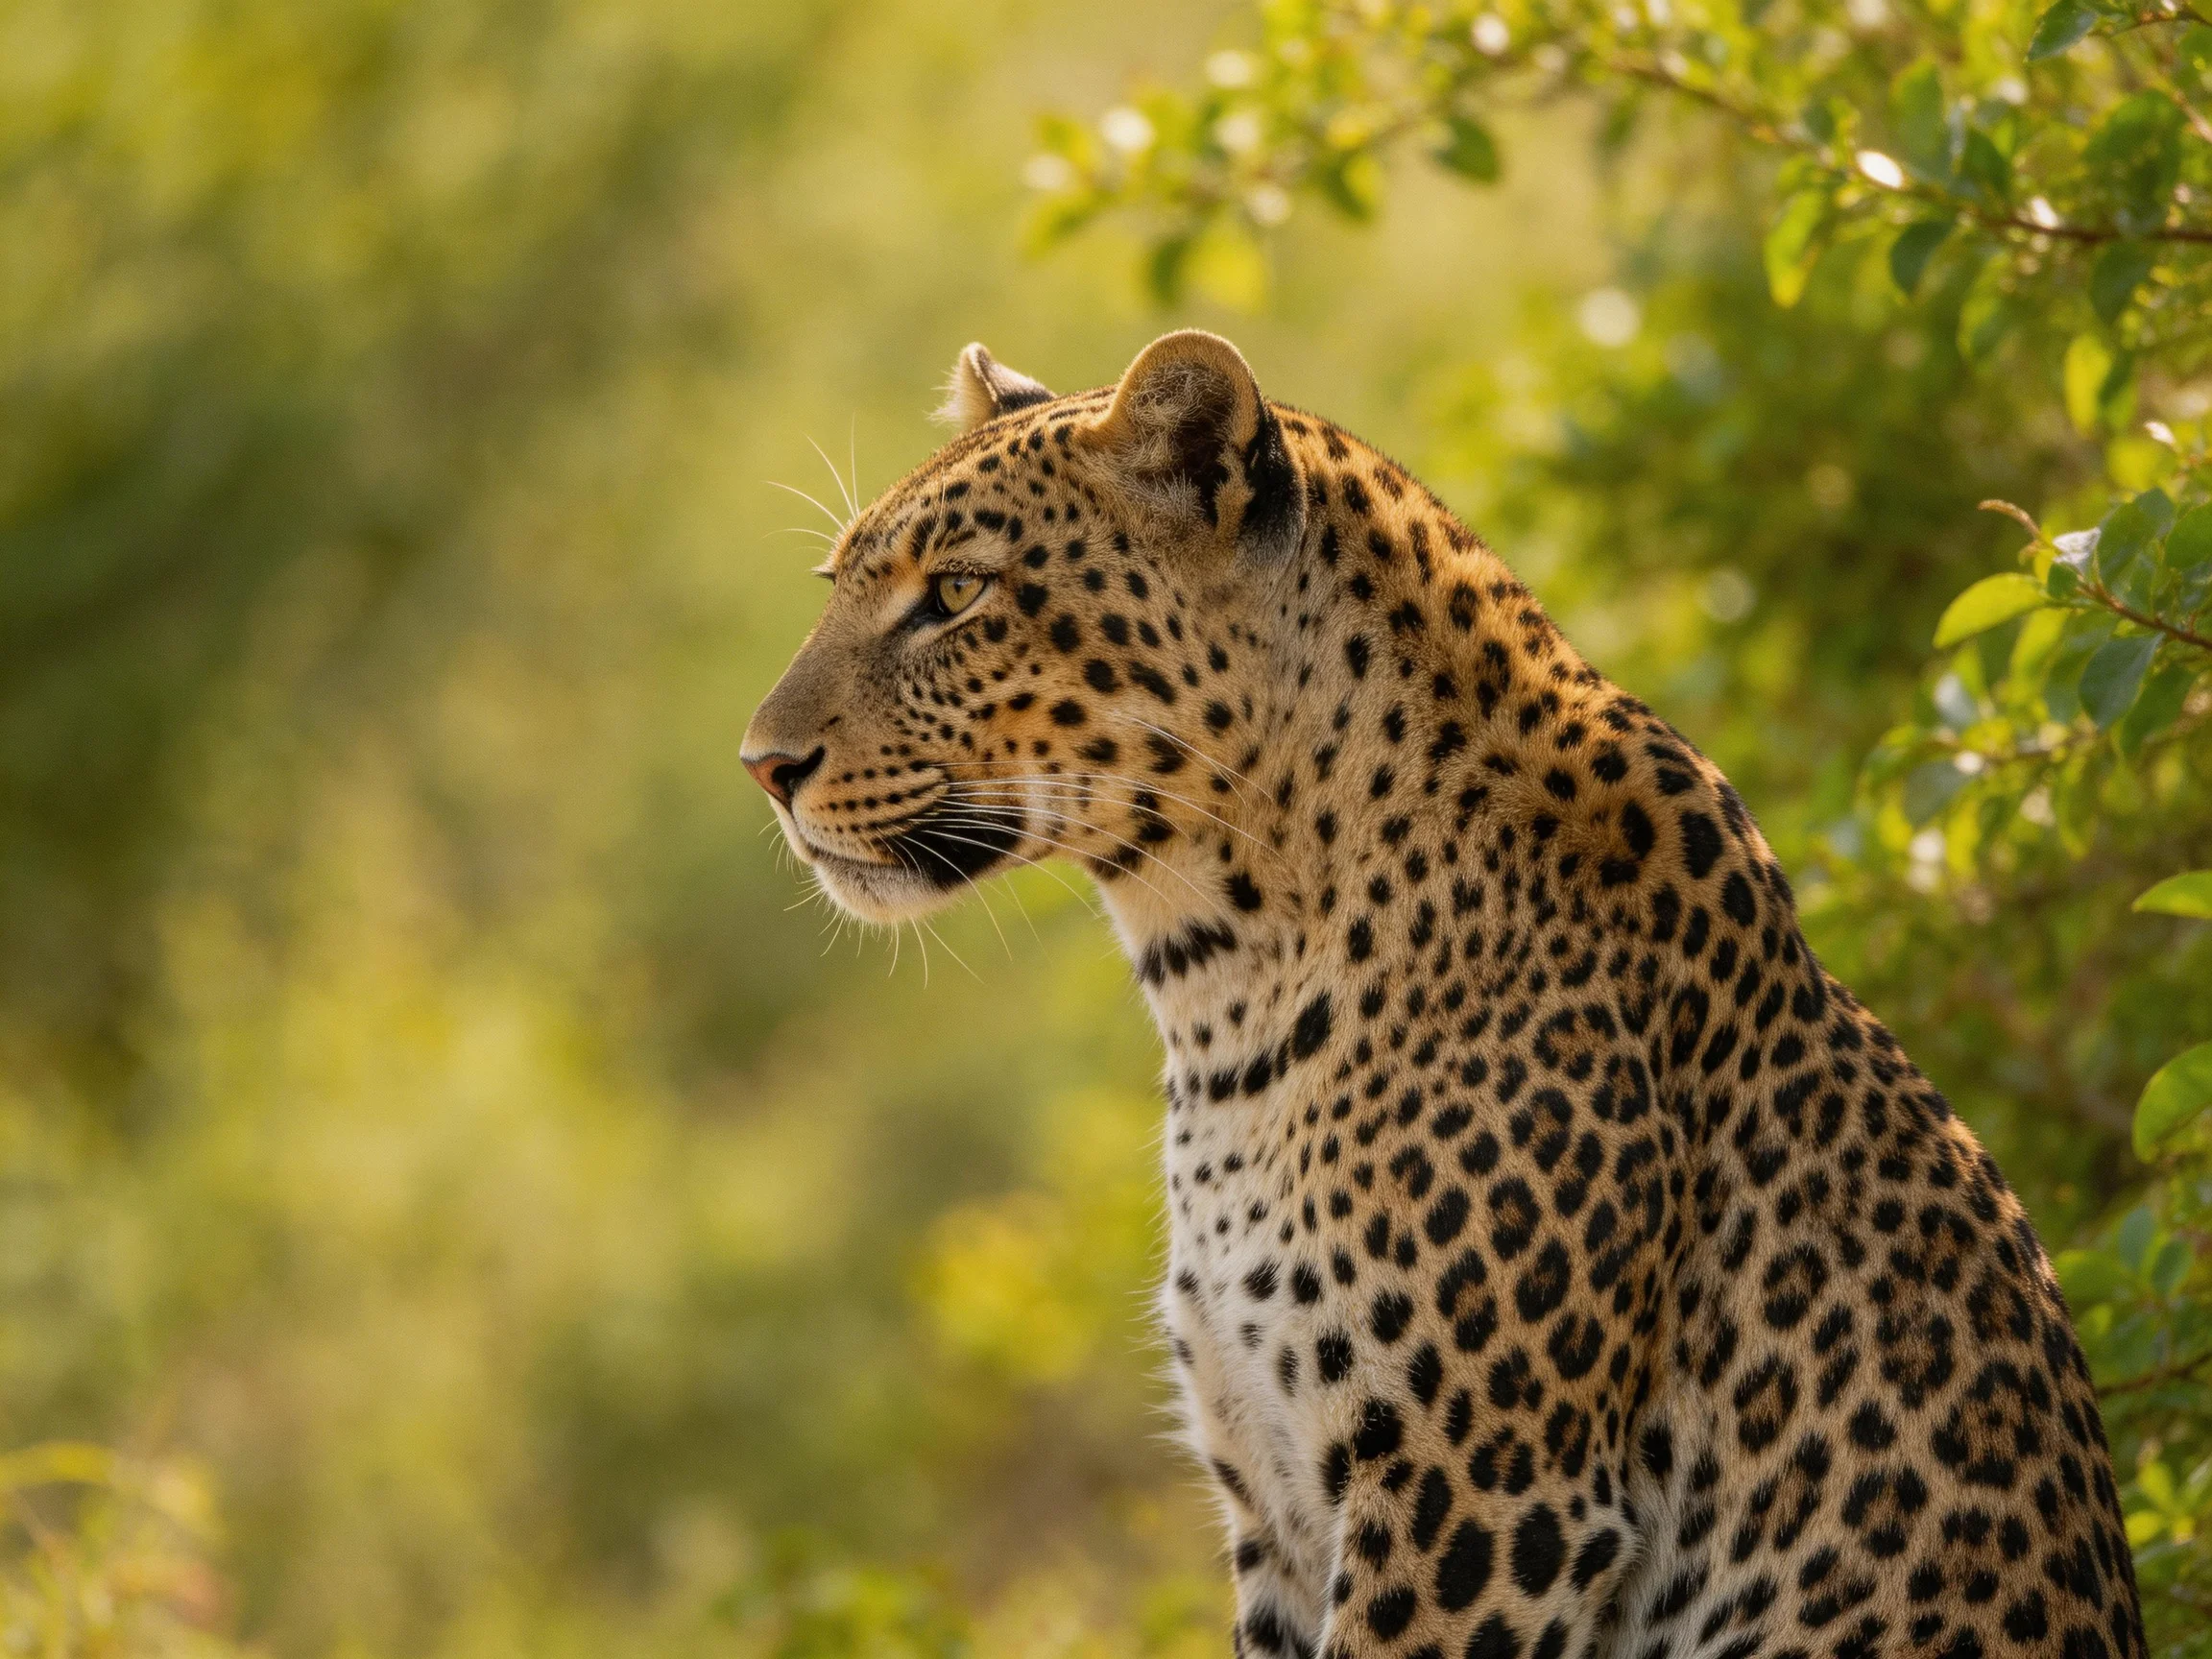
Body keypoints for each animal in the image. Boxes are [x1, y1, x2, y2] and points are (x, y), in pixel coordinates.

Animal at [742, 329, 2143, 1659]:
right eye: (838, 587)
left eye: (956, 594)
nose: (763, 764)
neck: (1222, 981)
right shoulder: (1268, 1487)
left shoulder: (1484, 1493)